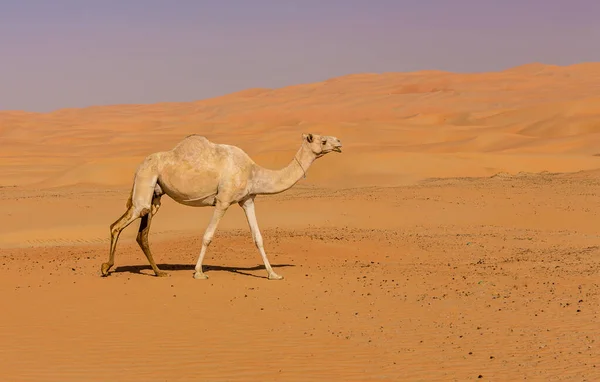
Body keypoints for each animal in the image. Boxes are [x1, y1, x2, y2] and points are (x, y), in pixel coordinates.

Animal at [101, 133, 340, 280]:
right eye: (322, 140)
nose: (339, 142)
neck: (253, 171)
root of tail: (138, 166)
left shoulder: (248, 199)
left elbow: (258, 237)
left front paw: (273, 274)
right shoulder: (223, 200)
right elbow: (208, 236)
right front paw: (198, 272)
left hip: (156, 195)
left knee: (142, 232)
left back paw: (159, 272)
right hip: (145, 181)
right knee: (118, 224)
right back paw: (106, 267)